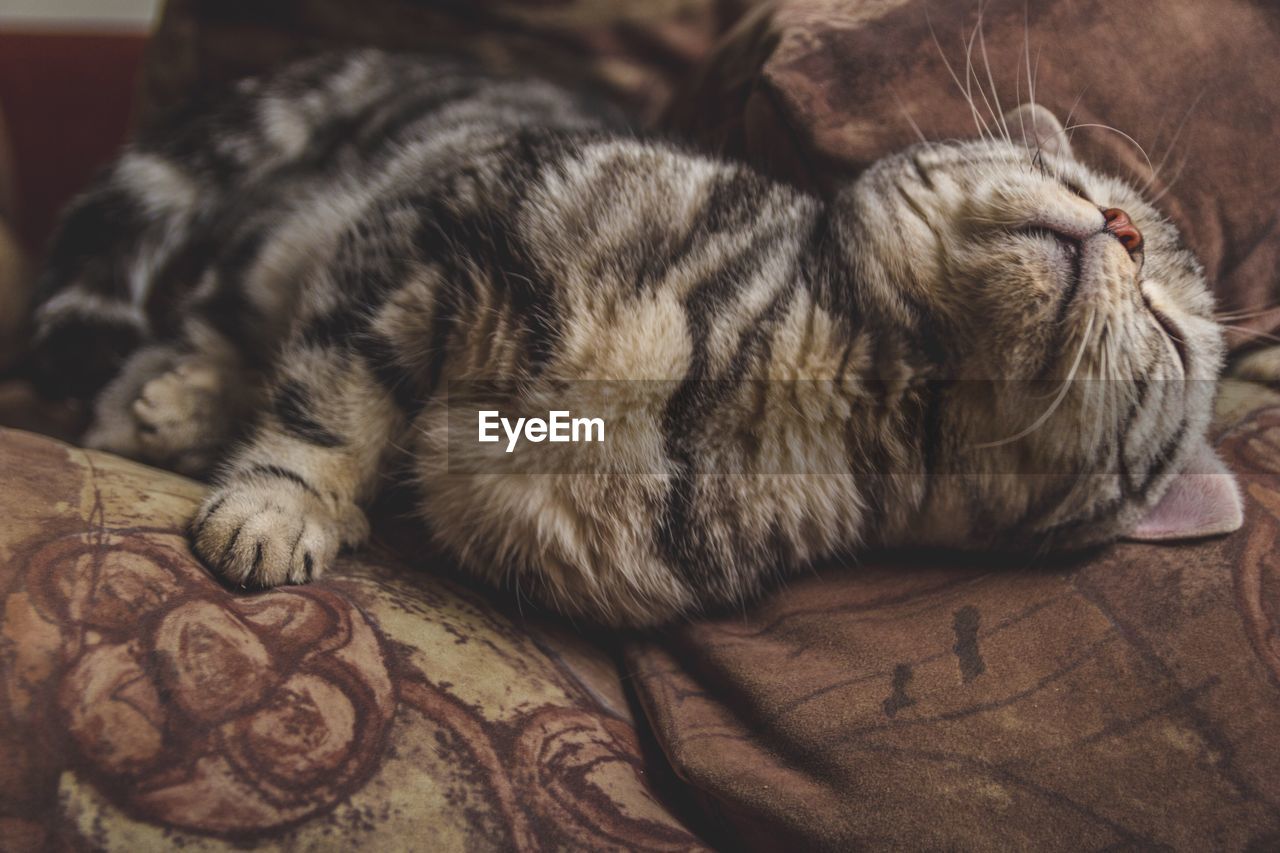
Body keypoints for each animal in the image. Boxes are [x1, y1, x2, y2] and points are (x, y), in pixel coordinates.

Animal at [27, 51, 1239, 625]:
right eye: (1069, 175)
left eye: (1173, 336)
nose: (1125, 227)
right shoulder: (445, 225)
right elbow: (338, 403)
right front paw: (284, 505)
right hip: (297, 228)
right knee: (228, 321)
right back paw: (169, 399)